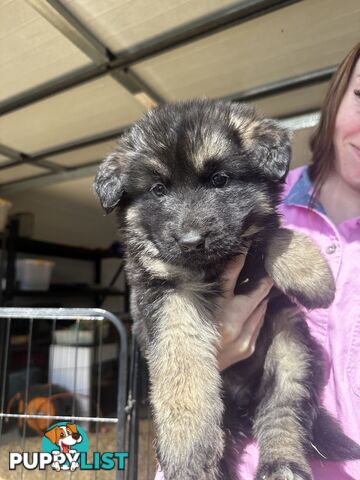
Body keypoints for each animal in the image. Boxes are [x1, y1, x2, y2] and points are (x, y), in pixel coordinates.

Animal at [93, 99, 360, 478]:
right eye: (158, 189)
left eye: (220, 180)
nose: (191, 242)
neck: (214, 266)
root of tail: (244, 407)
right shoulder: (168, 295)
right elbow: (183, 363)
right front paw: (186, 444)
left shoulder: (251, 239)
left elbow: (271, 231)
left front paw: (312, 275)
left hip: (290, 348)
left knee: (283, 414)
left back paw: (283, 463)